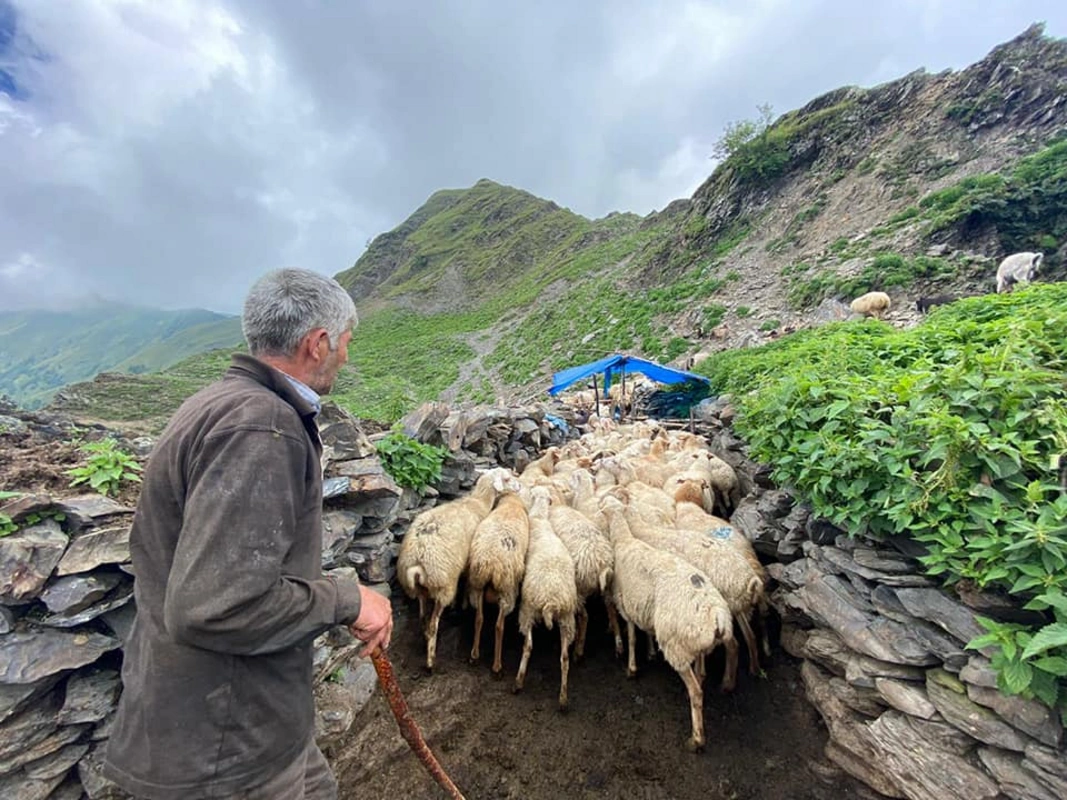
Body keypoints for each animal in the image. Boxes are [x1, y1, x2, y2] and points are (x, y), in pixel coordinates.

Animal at [399, 467, 518, 674]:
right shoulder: (467, 565)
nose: (519, 486)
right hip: (443, 585)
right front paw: (461, 603)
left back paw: (425, 641)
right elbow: (466, 582)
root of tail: (417, 562)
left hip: (419, 589)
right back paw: (430, 662)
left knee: (422, 619)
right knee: (433, 624)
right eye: (507, 478)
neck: (478, 502)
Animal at [469, 492, 531, 674]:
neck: (511, 504)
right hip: (507, 591)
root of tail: (490, 565)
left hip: (477, 586)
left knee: (479, 618)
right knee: (498, 626)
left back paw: (474, 654)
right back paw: (497, 666)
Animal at [514, 486, 576, 712]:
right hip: (567, 620)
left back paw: (518, 682)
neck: (540, 518)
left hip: (527, 610)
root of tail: (551, 601)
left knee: (528, 647)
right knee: (565, 658)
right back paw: (563, 699)